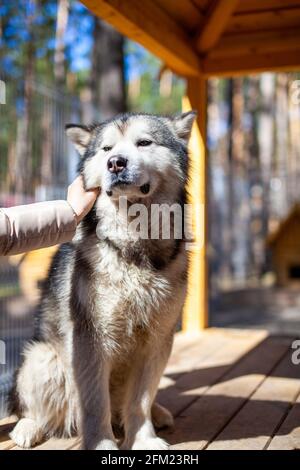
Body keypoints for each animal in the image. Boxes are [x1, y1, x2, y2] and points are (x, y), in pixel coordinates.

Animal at [9, 111, 196, 452]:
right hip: (43, 359)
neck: (132, 249)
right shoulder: (90, 339)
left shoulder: (158, 339)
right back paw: (27, 427)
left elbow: (140, 401)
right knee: (32, 407)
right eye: (106, 148)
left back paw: (158, 413)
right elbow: (95, 404)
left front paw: (144, 440)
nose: (116, 163)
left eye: (144, 142)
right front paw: (101, 444)